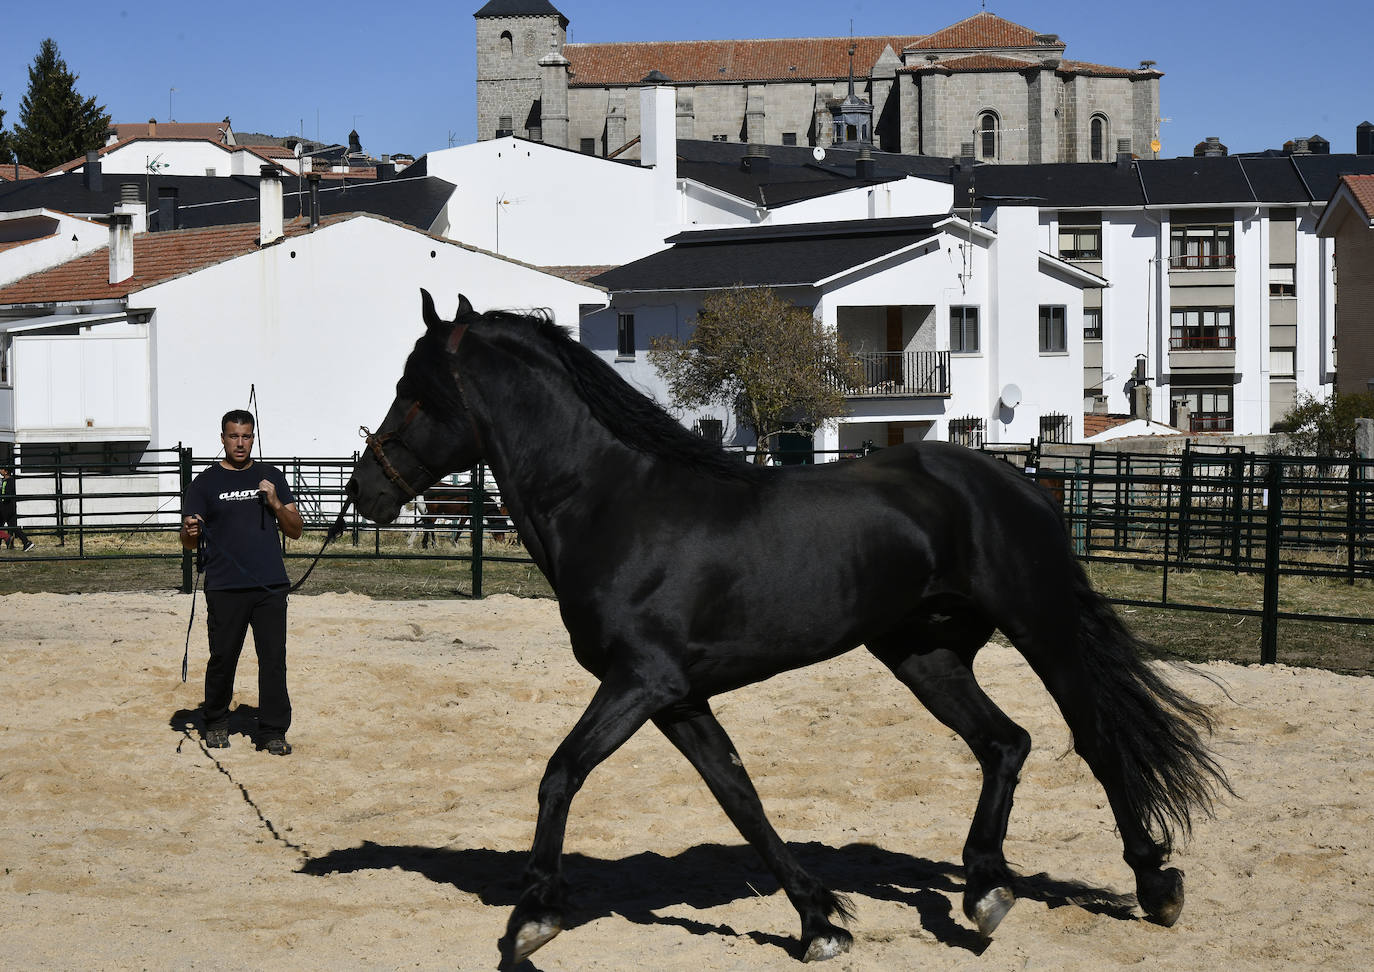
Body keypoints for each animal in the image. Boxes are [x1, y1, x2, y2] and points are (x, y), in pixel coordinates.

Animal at [343, 294, 1225, 967]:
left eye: (415, 389)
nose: (365, 494)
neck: (615, 504)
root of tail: (1019, 480)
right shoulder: (676, 697)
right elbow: (739, 795)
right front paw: (819, 921)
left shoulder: (639, 682)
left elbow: (561, 773)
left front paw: (533, 916)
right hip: (923, 654)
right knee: (1004, 743)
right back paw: (983, 890)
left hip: (1039, 626)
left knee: (1097, 741)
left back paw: (1155, 887)